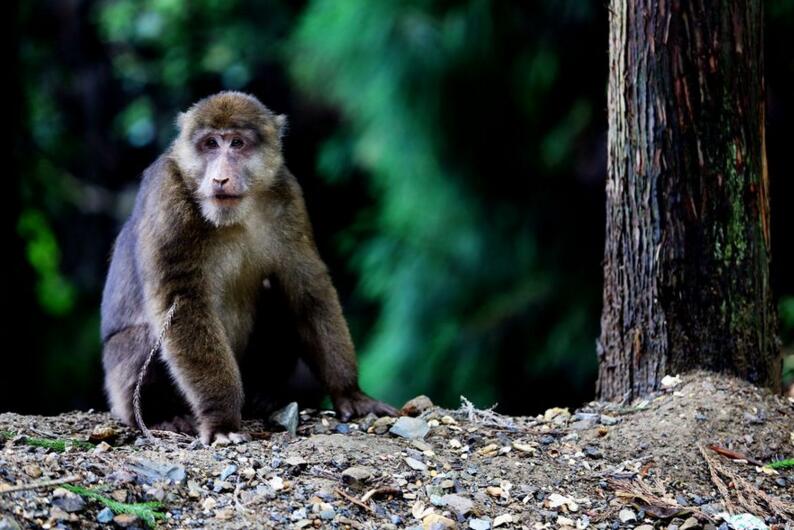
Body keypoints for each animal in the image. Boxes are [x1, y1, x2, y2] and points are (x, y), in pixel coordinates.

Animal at [101, 92, 396, 446]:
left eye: (237, 143)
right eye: (211, 144)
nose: (220, 178)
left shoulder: (287, 197)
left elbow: (307, 290)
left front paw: (350, 392)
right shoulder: (166, 201)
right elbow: (184, 305)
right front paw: (222, 419)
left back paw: (263, 398)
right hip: (118, 380)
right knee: (144, 338)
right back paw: (162, 416)